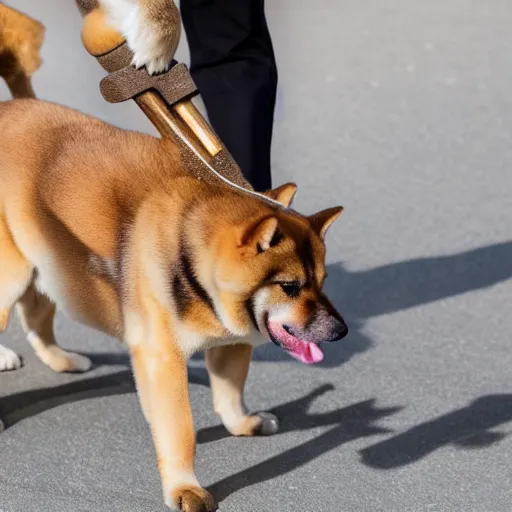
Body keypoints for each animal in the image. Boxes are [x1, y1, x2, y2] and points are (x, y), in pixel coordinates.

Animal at [0, 2, 348, 510]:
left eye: (322, 281)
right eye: (289, 286)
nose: (341, 331)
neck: (192, 249)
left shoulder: (232, 341)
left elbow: (230, 392)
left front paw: (242, 423)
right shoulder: (161, 360)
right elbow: (180, 430)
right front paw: (185, 486)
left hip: (53, 264)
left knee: (36, 316)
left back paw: (61, 359)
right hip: (10, 273)